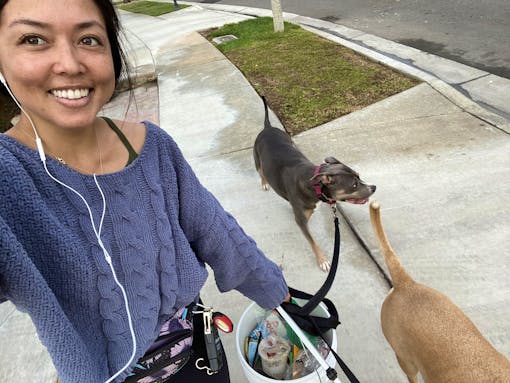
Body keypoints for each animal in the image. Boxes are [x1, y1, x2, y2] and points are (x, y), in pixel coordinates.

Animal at [254, 98, 376, 272]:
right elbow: (312, 241)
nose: (373, 187)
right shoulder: (301, 222)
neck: (315, 185)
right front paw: (322, 260)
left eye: (359, 176)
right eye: (354, 185)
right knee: (261, 172)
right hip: (257, 159)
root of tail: (268, 127)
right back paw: (264, 183)